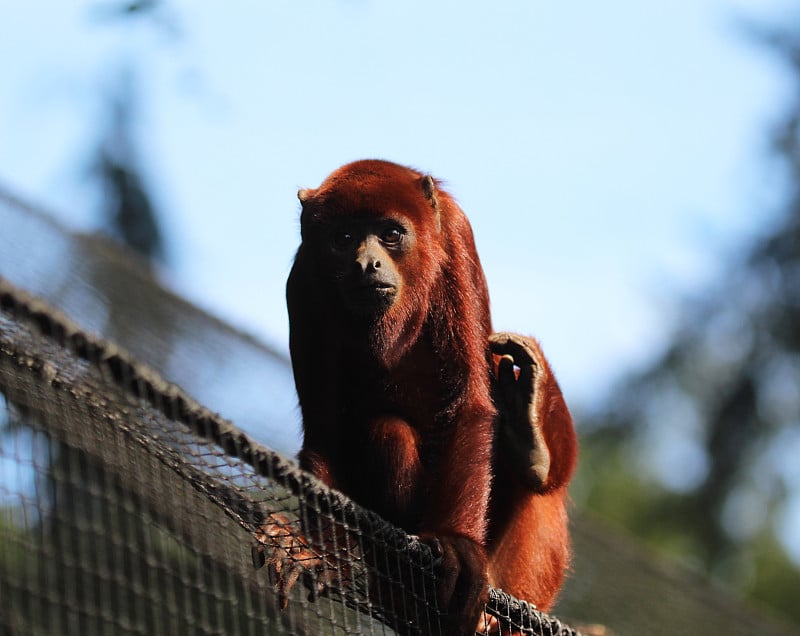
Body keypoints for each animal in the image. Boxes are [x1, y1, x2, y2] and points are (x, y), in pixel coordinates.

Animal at [266, 161, 580, 632]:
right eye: (343, 237)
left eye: (391, 233)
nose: (367, 263)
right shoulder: (303, 284)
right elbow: (326, 433)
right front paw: (317, 554)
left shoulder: (456, 237)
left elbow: (470, 404)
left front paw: (455, 543)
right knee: (388, 432)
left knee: (542, 488)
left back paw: (530, 434)